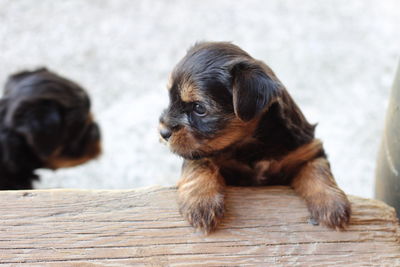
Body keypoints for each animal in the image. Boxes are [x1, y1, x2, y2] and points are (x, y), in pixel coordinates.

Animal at [159, 42, 350, 234]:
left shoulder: (307, 151)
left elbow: (318, 169)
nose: (163, 132)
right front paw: (201, 203)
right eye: (170, 99)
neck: (253, 144)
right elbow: (200, 163)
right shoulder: (200, 153)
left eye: (199, 108)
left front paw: (332, 204)